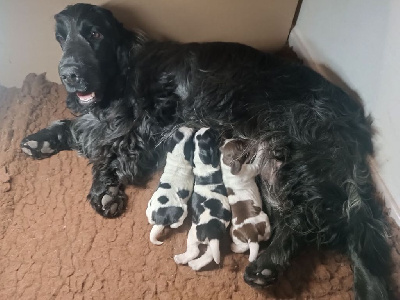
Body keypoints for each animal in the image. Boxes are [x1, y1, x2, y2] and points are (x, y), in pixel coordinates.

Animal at [173, 127, 231, 270]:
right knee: (209, 255)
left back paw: (182, 259)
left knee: (195, 251)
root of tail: (212, 231)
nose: (212, 128)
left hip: (193, 234)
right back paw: (194, 264)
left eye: (211, 133)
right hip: (213, 242)